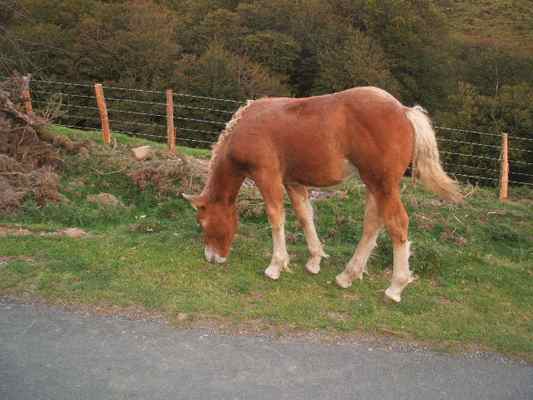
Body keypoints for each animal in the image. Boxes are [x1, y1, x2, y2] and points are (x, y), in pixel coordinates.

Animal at [184, 86, 462, 302]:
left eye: (203, 222)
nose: (212, 258)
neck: (247, 125)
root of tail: (404, 111)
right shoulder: (293, 182)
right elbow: (305, 216)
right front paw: (314, 260)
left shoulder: (267, 176)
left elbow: (276, 217)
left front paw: (276, 266)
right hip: (374, 184)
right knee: (373, 223)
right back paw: (347, 275)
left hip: (383, 184)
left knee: (397, 224)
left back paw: (395, 287)